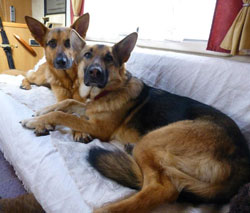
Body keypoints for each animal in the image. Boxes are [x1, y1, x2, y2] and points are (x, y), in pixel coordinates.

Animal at [0, 30, 249, 213]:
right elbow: (68, 103)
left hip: (153, 139)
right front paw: (42, 113)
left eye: (109, 58)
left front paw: (40, 120)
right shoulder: (89, 110)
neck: (105, 92)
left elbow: (66, 115)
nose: (94, 73)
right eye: (87, 55)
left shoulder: (98, 127)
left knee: (161, 189)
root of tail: (241, 161)